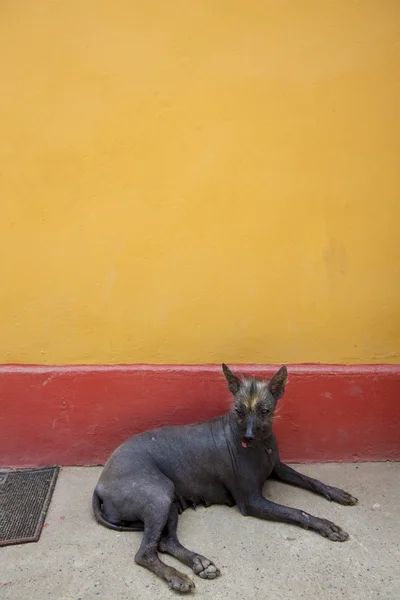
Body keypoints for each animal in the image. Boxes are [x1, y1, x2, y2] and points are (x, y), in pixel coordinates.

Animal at [94, 364, 360, 592]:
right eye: (238, 411)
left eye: (264, 411)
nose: (248, 437)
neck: (261, 445)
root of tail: (99, 486)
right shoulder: (252, 502)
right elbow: (297, 512)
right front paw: (325, 525)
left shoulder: (278, 468)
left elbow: (310, 480)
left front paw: (337, 493)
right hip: (158, 496)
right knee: (145, 553)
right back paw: (177, 577)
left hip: (168, 503)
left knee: (165, 542)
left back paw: (199, 563)